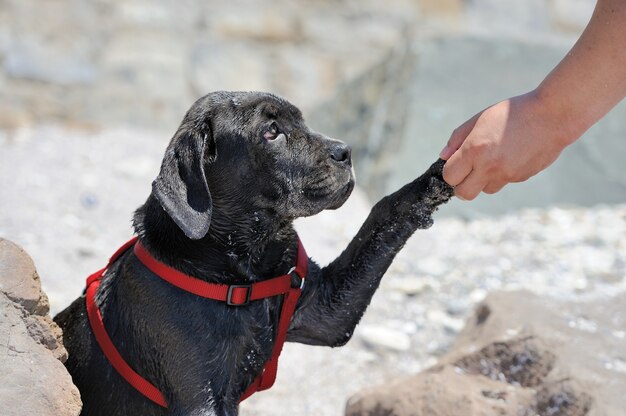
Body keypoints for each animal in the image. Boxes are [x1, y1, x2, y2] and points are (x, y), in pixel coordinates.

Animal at [54, 92, 448, 416]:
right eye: (271, 131)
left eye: (302, 122)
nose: (345, 152)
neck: (242, 272)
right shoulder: (199, 399)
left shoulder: (326, 312)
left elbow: (383, 213)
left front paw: (435, 180)